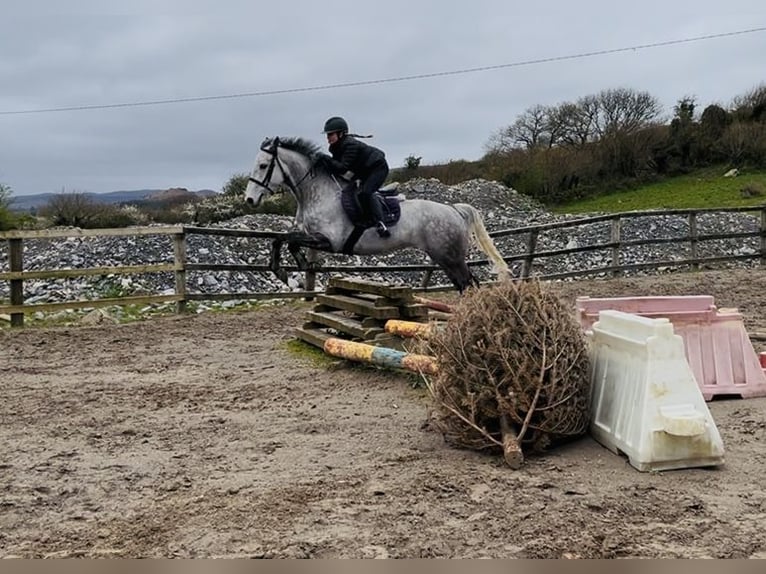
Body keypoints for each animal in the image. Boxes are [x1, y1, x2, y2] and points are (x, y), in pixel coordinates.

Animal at [243, 137, 510, 292]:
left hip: (450, 256)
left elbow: (286, 239)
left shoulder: (329, 241)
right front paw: (292, 271)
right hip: (445, 258)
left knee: (469, 285)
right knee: (466, 285)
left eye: (264, 166)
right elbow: (282, 239)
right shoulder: (311, 236)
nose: (249, 200)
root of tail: (454, 210)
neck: (317, 192)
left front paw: (287, 272)